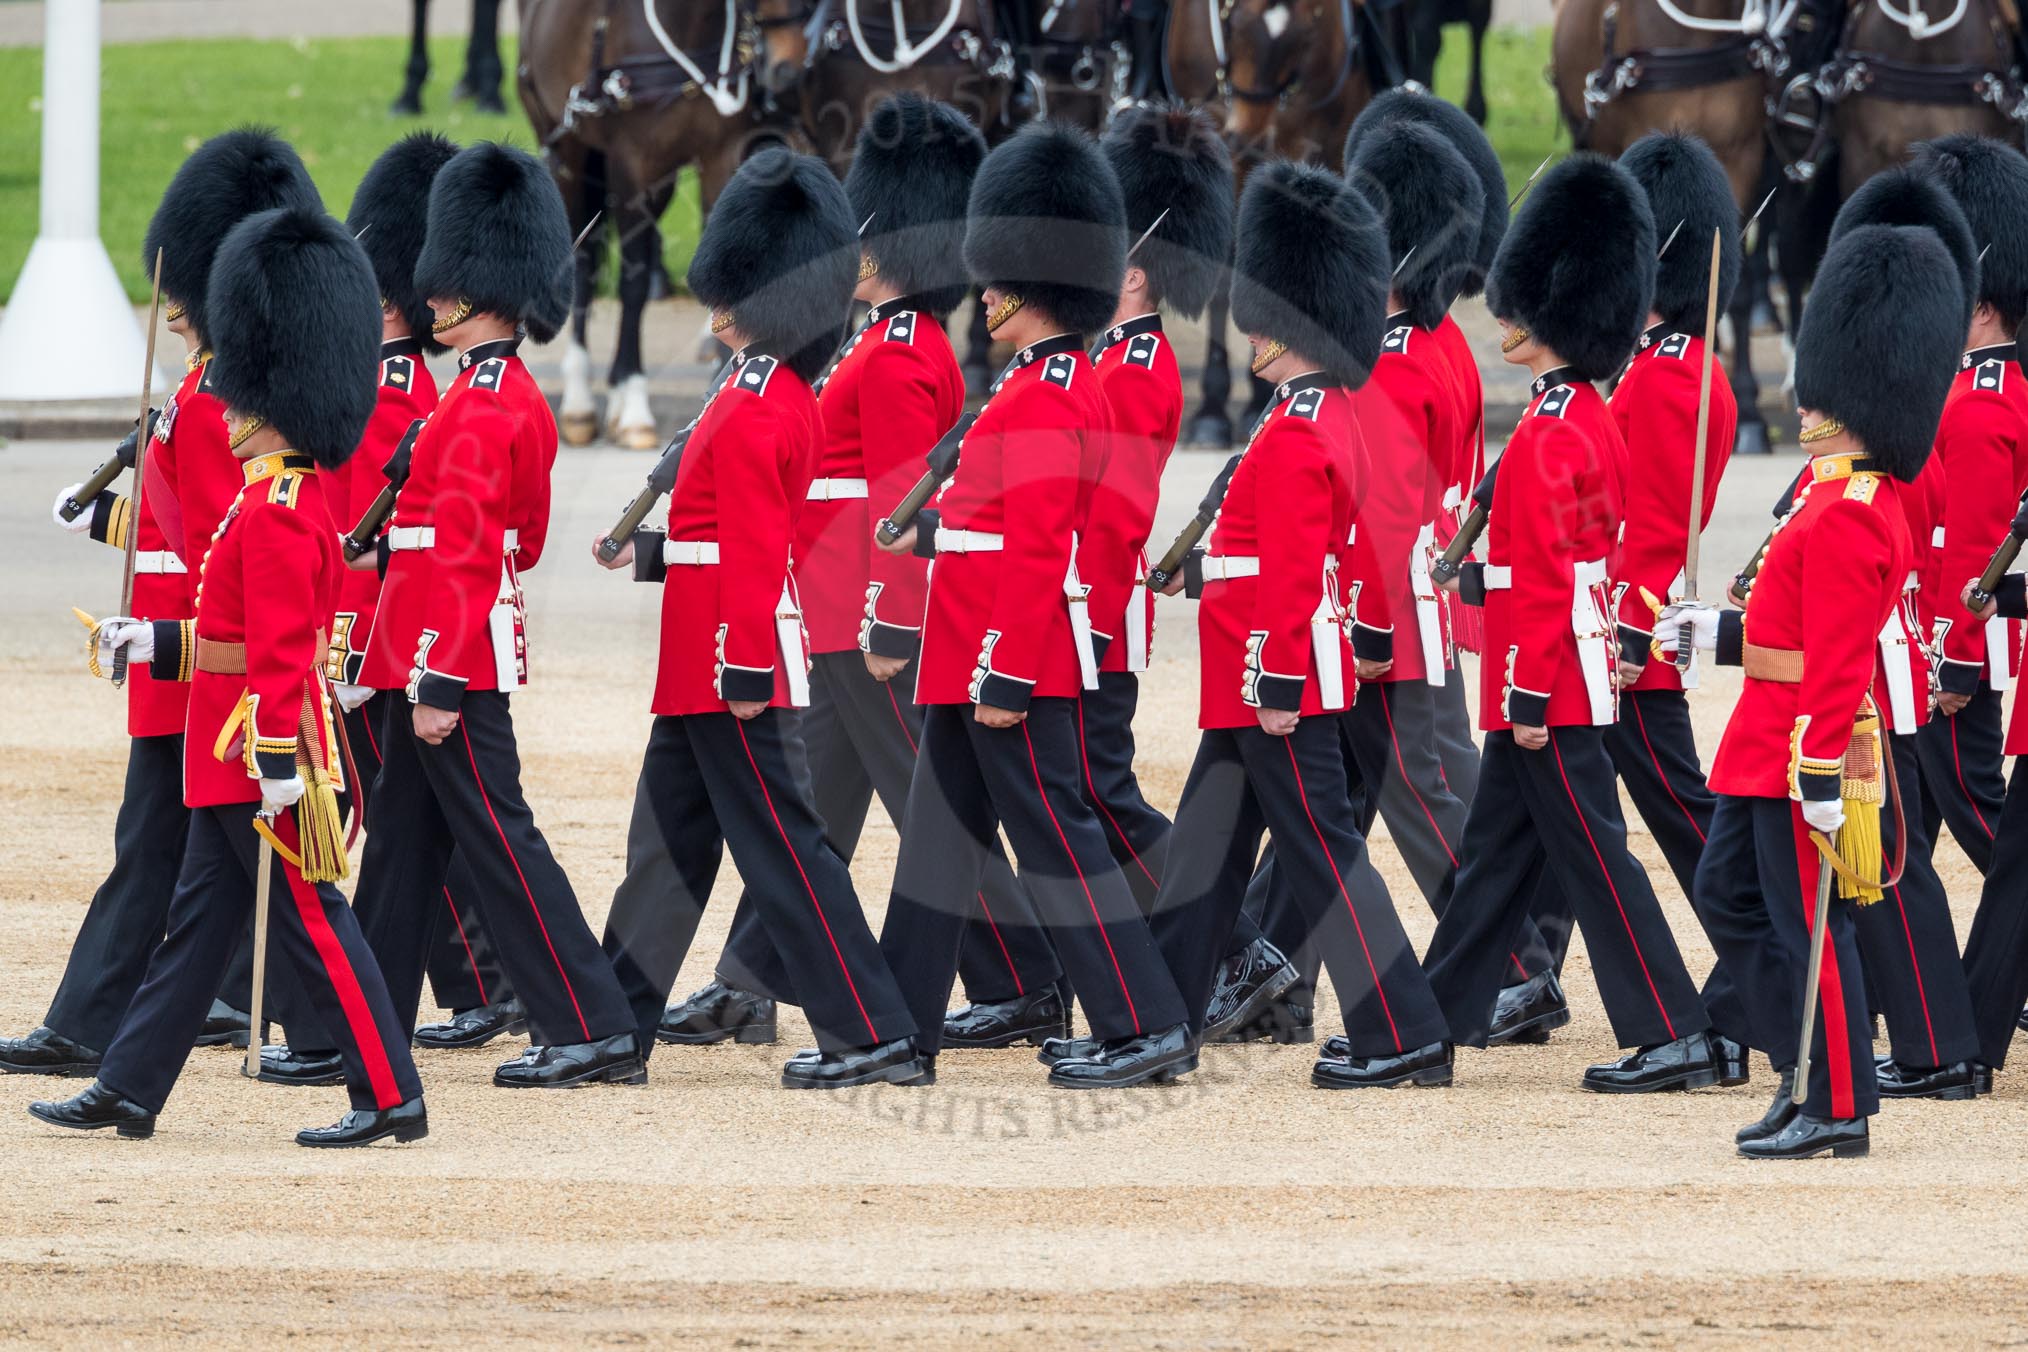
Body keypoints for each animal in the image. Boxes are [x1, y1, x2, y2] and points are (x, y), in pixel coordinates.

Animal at [515, 0, 782, 449]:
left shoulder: (722, 157)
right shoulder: (632, 168)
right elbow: (633, 285)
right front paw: (634, 404)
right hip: (566, 149)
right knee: (581, 263)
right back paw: (580, 400)